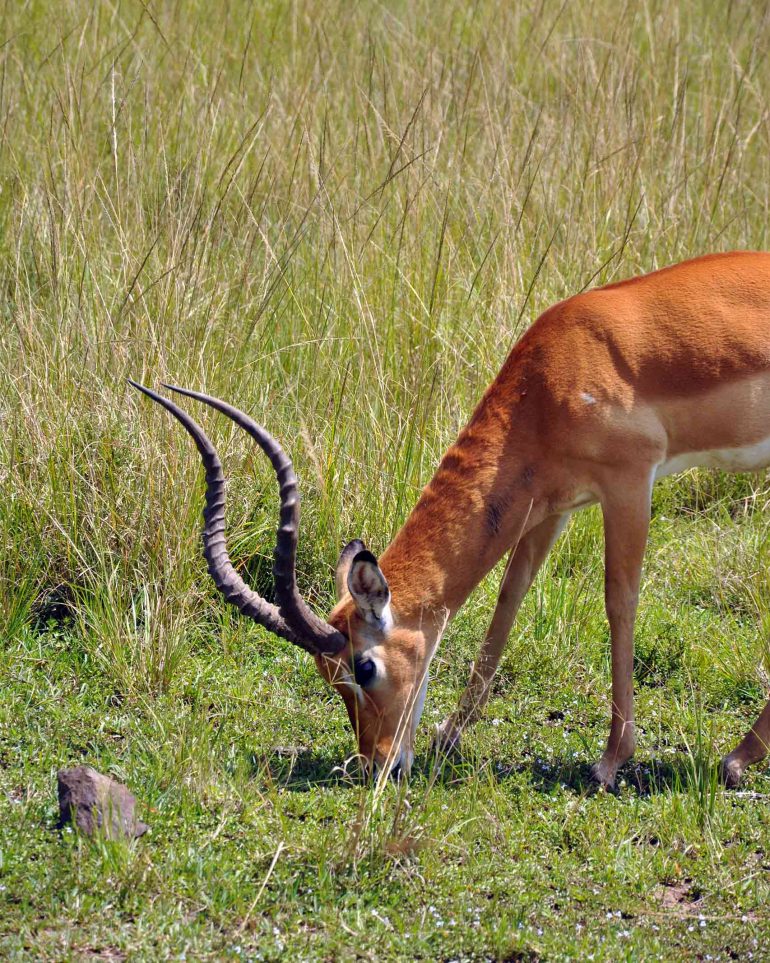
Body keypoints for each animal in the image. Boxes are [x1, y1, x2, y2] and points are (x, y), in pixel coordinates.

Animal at [131, 250, 770, 790]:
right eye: (326, 676)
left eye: (363, 666)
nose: (377, 763)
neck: (553, 378)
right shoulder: (547, 511)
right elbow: (505, 608)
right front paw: (446, 736)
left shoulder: (629, 483)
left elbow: (620, 603)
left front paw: (611, 761)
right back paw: (739, 757)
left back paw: (735, 759)